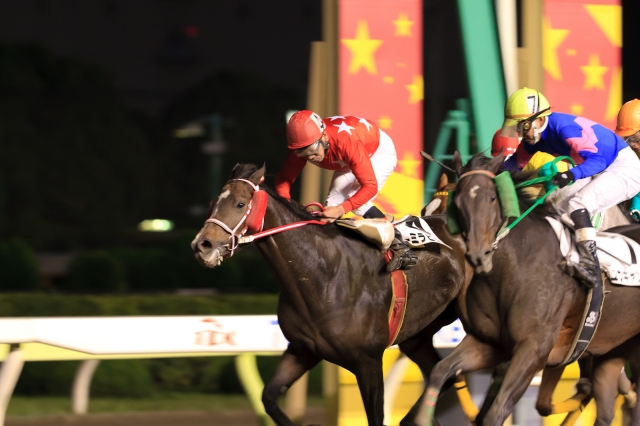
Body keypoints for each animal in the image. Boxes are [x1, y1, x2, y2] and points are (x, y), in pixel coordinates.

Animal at [190, 165, 470, 426]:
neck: (322, 275)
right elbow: (268, 398)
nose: (202, 245)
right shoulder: (302, 350)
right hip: (418, 335)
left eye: (240, 204)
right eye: (213, 203)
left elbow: (375, 416)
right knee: (440, 374)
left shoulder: (367, 360)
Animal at [418, 154, 640, 426]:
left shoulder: (534, 350)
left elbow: (497, 412)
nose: (478, 255)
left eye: (492, 198)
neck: (517, 262)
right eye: (457, 202)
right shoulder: (490, 344)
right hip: (615, 349)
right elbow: (441, 371)